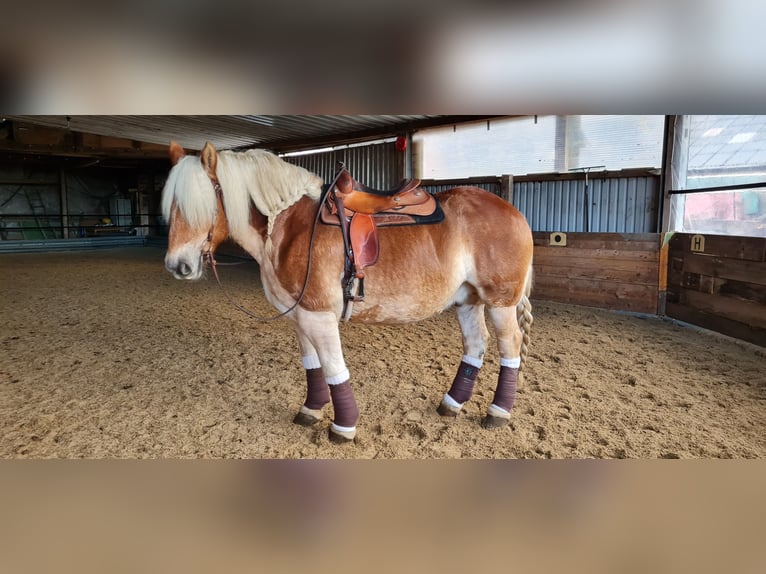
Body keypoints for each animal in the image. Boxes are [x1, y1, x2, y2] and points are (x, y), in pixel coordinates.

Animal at [162, 141, 536, 446]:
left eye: (202, 204)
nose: (177, 265)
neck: (288, 226)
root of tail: (514, 212)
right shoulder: (299, 315)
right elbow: (312, 365)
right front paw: (310, 410)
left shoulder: (319, 314)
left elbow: (333, 368)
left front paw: (343, 427)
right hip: (467, 300)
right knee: (476, 344)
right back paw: (452, 404)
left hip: (501, 302)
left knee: (510, 347)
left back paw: (498, 411)